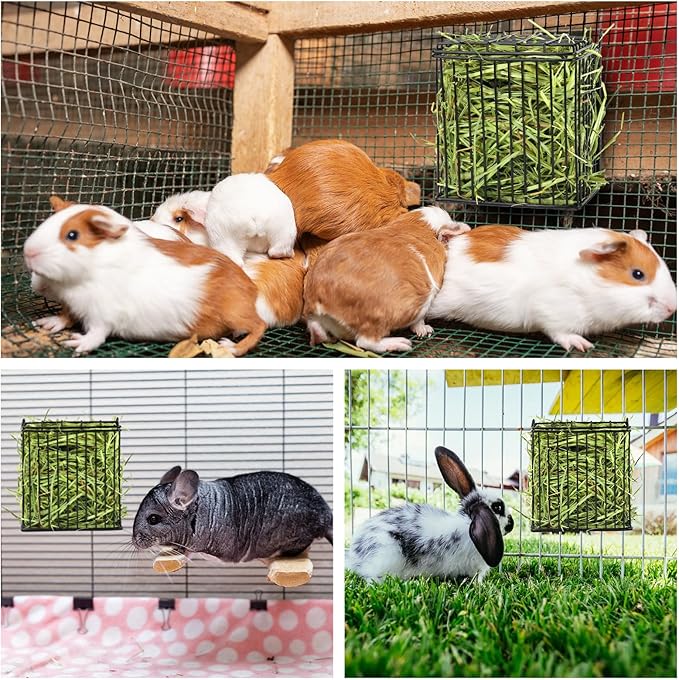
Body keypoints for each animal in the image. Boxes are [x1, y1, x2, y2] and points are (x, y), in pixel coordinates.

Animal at [23, 195, 266, 355]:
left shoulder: (103, 313)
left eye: (72, 235)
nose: (28, 252)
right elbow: (65, 315)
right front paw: (46, 324)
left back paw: (230, 347)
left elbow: (97, 333)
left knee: (258, 326)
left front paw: (76, 344)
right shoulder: (73, 304)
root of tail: (249, 285)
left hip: (236, 314)